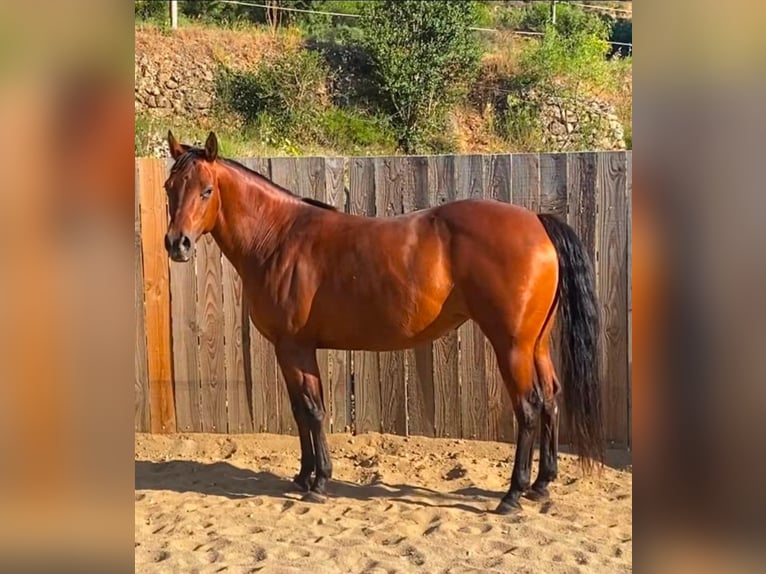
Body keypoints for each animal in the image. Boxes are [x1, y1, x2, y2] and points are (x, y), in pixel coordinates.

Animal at [162, 130, 605, 514]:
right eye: (170, 188)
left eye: (206, 190)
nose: (176, 244)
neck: (279, 238)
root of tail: (536, 221)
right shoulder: (288, 351)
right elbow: (300, 410)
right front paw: (303, 476)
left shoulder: (295, 348)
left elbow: (313, 410)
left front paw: (320, 481)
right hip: (536, 344)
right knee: (550, 398)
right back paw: (542, 484)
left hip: (511, 346)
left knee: (528, 408)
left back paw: (513, 494)